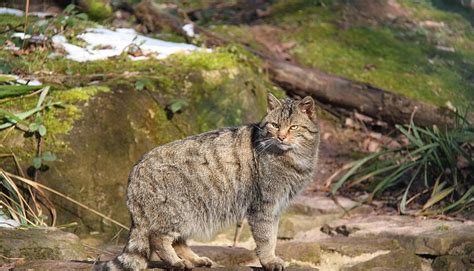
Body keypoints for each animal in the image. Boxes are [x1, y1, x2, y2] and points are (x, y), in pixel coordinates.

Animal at [101, 94, 320, 271]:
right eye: (275, 125)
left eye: (294, 127)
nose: (281, 137)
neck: (294, 158)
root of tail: (135, 169)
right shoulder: (264, 206)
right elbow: (266, 238)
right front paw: (269, 261)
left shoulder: (276, 207)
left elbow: (274, 236)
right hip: (177, 211)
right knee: (158, 239)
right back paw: (176, 262)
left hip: (188, 214)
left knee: (178, 241)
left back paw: (195, 260)